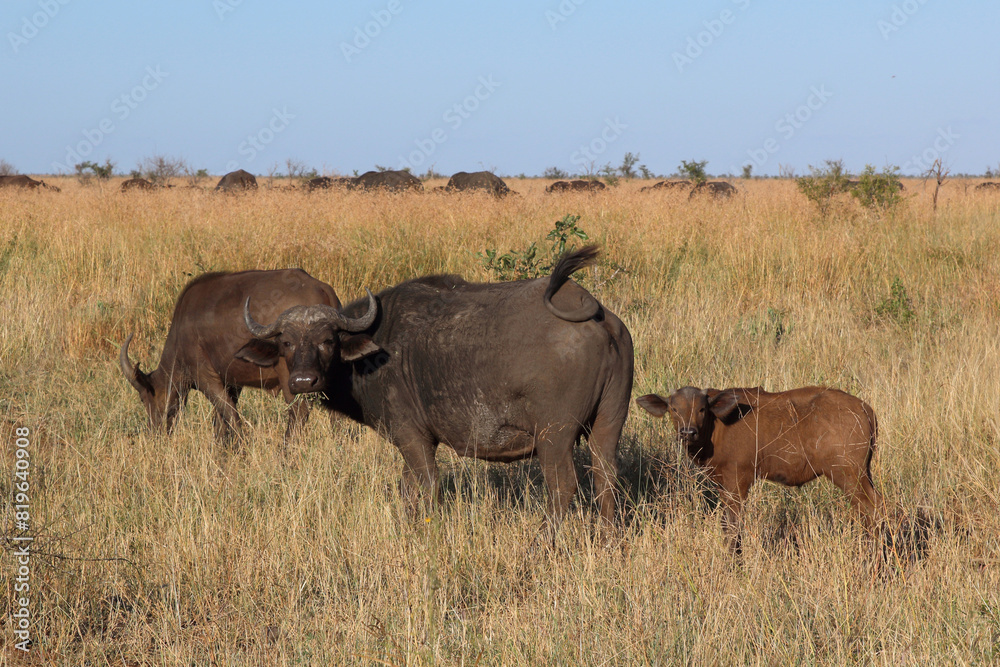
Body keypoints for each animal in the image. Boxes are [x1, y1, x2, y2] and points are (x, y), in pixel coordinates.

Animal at [120, 269, 340, 445]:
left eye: (145, 397)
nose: (154, 433)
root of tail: (321, 289)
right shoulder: (232, 382)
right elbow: (221, 422)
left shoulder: (207, 379)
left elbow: (230, 415)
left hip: (293, 380)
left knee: (298, 411)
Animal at [239, 246, 634, 540]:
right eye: (287, 343)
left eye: (327, 341)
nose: (303, 381)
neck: (377, 344)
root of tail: (599, 319)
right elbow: (407, 489)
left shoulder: (412, 436)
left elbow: (426, 485)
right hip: (607, 425)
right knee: (606, 477)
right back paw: (609, 538)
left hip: (555, 436)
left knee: (563, 485)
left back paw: (541, 542)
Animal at [636, 386, 884, 552]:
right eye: (674, 409)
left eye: (702, 409)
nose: (688, 432)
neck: (716, 430)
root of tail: (865, 409)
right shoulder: (722, 485)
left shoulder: (738, 482)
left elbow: (733, 526)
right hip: (864, 473)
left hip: (849, 475)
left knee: (872, 510)